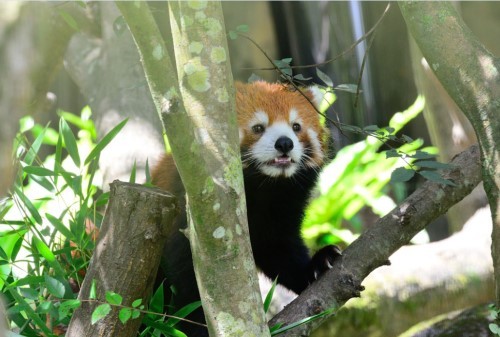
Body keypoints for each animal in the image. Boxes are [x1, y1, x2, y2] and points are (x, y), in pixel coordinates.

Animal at [150, 81, 342, 336]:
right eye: (258, 127)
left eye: (296, 126)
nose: (285, 143)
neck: (262, 187)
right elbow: (186, 281)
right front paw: (197, 325)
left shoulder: (280, 208)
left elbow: (279, 249)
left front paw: (316, 265)